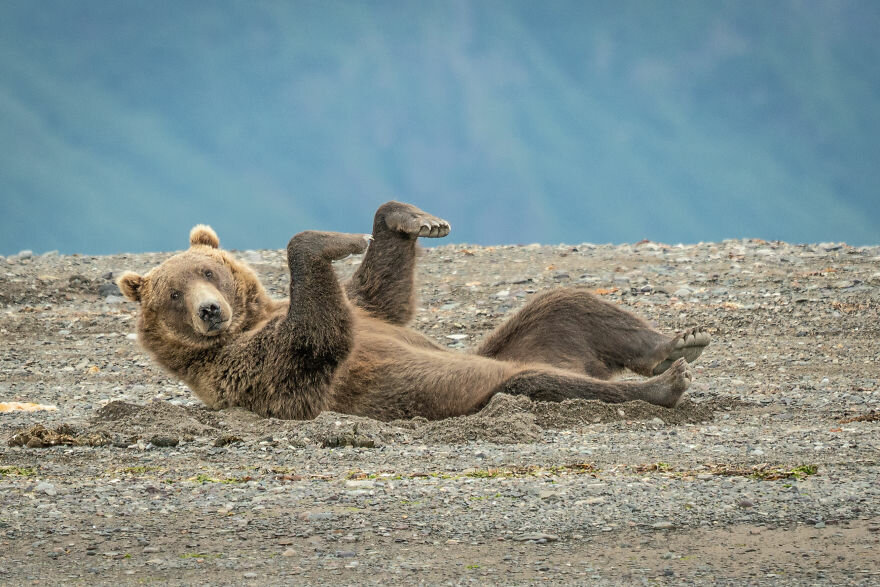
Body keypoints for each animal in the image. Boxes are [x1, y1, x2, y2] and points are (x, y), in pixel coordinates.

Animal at [117, 203, 712, 422]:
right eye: (172, 294)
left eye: (208, 271)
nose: (210, 311)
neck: (252, 320)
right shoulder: (249, 368)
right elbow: (319, 336)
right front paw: (335, 239)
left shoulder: (366, 310)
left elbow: (380, 293)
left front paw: (414, 221)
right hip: (481, 384)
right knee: (543, 381)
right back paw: (662, 385)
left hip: (532, 337)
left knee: (565, 304)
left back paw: (677, 344)